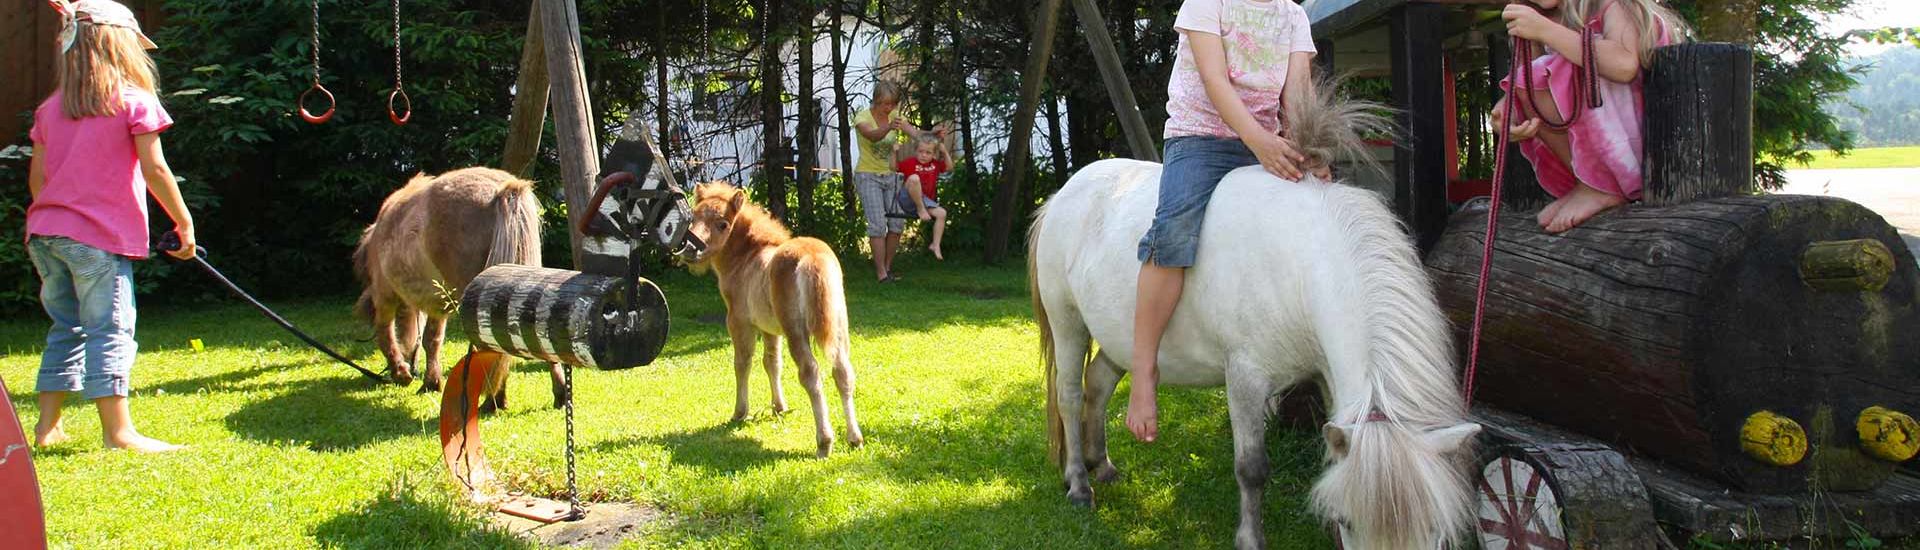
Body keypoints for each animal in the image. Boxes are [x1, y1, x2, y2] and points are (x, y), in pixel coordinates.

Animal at [355, 170, 564, 409]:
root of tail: (505, 188)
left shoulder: (385, 298)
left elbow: (386, 335)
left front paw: (401, 372)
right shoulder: (438, 306)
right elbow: (432, 341)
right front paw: (431, 382)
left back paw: (492, 401)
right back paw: (556, 395)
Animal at [683, 182, 864, 457]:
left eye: (723, 223)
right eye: (693, 217)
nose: (691, 250)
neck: (746, 258)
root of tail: (812, 258)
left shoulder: (739, 322)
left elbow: (742, 363)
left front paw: (740, 412)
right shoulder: (770, 329)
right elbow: (772, 363)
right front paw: (779, 407)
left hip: (796, 331)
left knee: (811, 374)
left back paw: (824, 442)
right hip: (838, 328)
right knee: (842, 372)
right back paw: (854, 438)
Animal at [1029, 82, 1474, 550]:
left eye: (1435, 529)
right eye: (1348, 522)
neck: (1301, 263)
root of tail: (1059, 197)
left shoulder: (1326, 377)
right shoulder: (1244, 378)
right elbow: (1252, 468)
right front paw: (1250, 538)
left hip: (1117, 339)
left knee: (1097, 384)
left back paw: (1103, 465)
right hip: (1068, 322)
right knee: (1070, 395)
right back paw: (1079, 483)